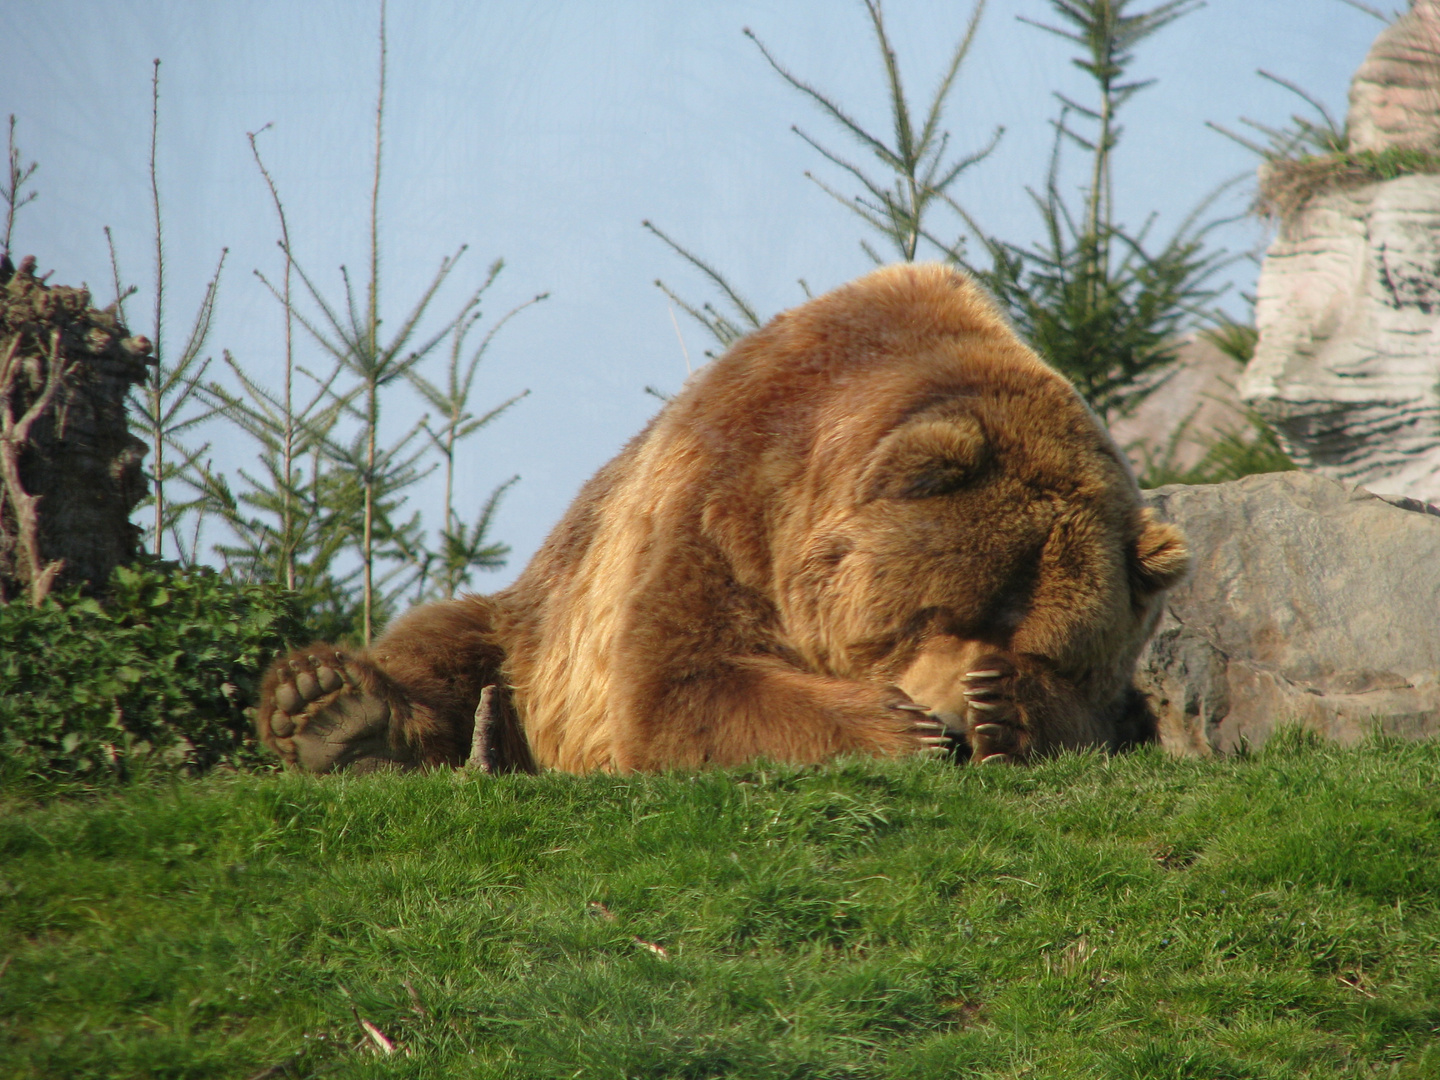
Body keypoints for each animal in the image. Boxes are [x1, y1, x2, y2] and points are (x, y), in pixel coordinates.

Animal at [259, 264, 1192, 771]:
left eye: (1052, 651)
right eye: (936, 611)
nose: (959, 728)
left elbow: (1114, 722)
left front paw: (1009, 712)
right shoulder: (727, 500)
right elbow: (679, 680)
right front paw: (898, 729)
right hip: (540, 627)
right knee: (449, 646)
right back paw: (330, 711)